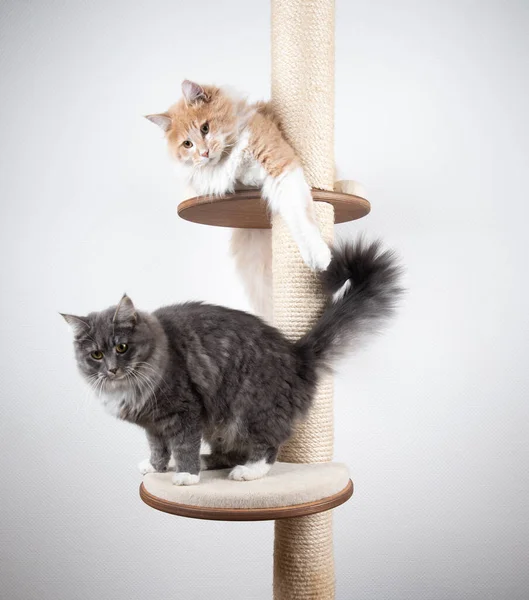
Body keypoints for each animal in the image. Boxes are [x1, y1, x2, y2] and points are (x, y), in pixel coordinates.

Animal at [62, 239, 400, 482]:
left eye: (121, 347)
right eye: (96, 354)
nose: (112, 369)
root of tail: (296, 353)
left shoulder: (184, 411)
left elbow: (183, 445)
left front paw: (186, 476)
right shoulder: (154, 425)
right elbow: (159, 449)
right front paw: (157, 467)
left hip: (251, 410)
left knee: (267, 447)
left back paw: (246, 472)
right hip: (223, 426)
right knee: (229, 453)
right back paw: (207, 461)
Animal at [146, 82, 330, 322]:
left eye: (205, 128)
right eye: (187, 144)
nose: (204, 153)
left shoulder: (280, 166)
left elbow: (301, 217)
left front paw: (318, 256)